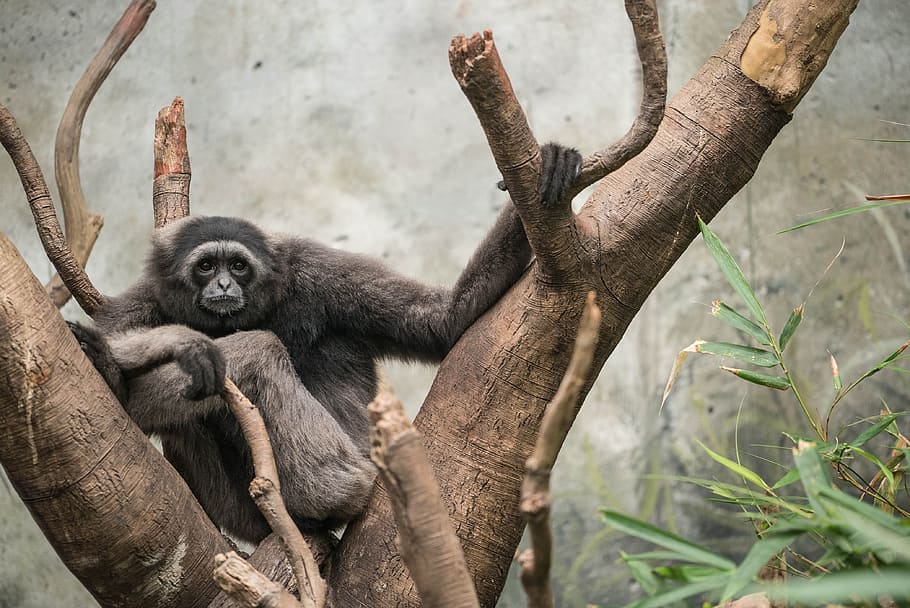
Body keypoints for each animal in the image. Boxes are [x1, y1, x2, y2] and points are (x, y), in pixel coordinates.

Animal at [69, 143, 582, 543]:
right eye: (206, 266)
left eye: (238, 266)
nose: (223, 286)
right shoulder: (149, 296)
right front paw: (160, 348)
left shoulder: (316, 271)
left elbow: (443, 319)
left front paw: (549, 167)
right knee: (182, 418)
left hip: (360, 466)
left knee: (260, 352)